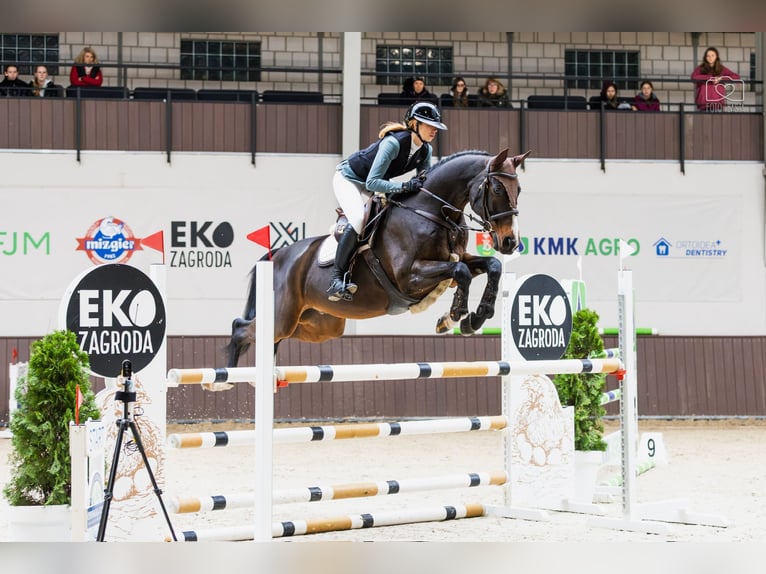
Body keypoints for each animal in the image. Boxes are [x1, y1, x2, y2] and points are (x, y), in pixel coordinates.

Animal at [218, 148, 529, 388]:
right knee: (241, 327)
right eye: (497, 188)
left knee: (272, 336)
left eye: (519, 190)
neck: (432, 212)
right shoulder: (410, 277)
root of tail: (276, 256)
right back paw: (224, 380)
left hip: (318, 324)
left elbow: (490, 266)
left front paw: (474, 318)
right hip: (283, 315)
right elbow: (461, 274)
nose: (510, 242)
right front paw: (453, 317)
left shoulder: (459, 258)